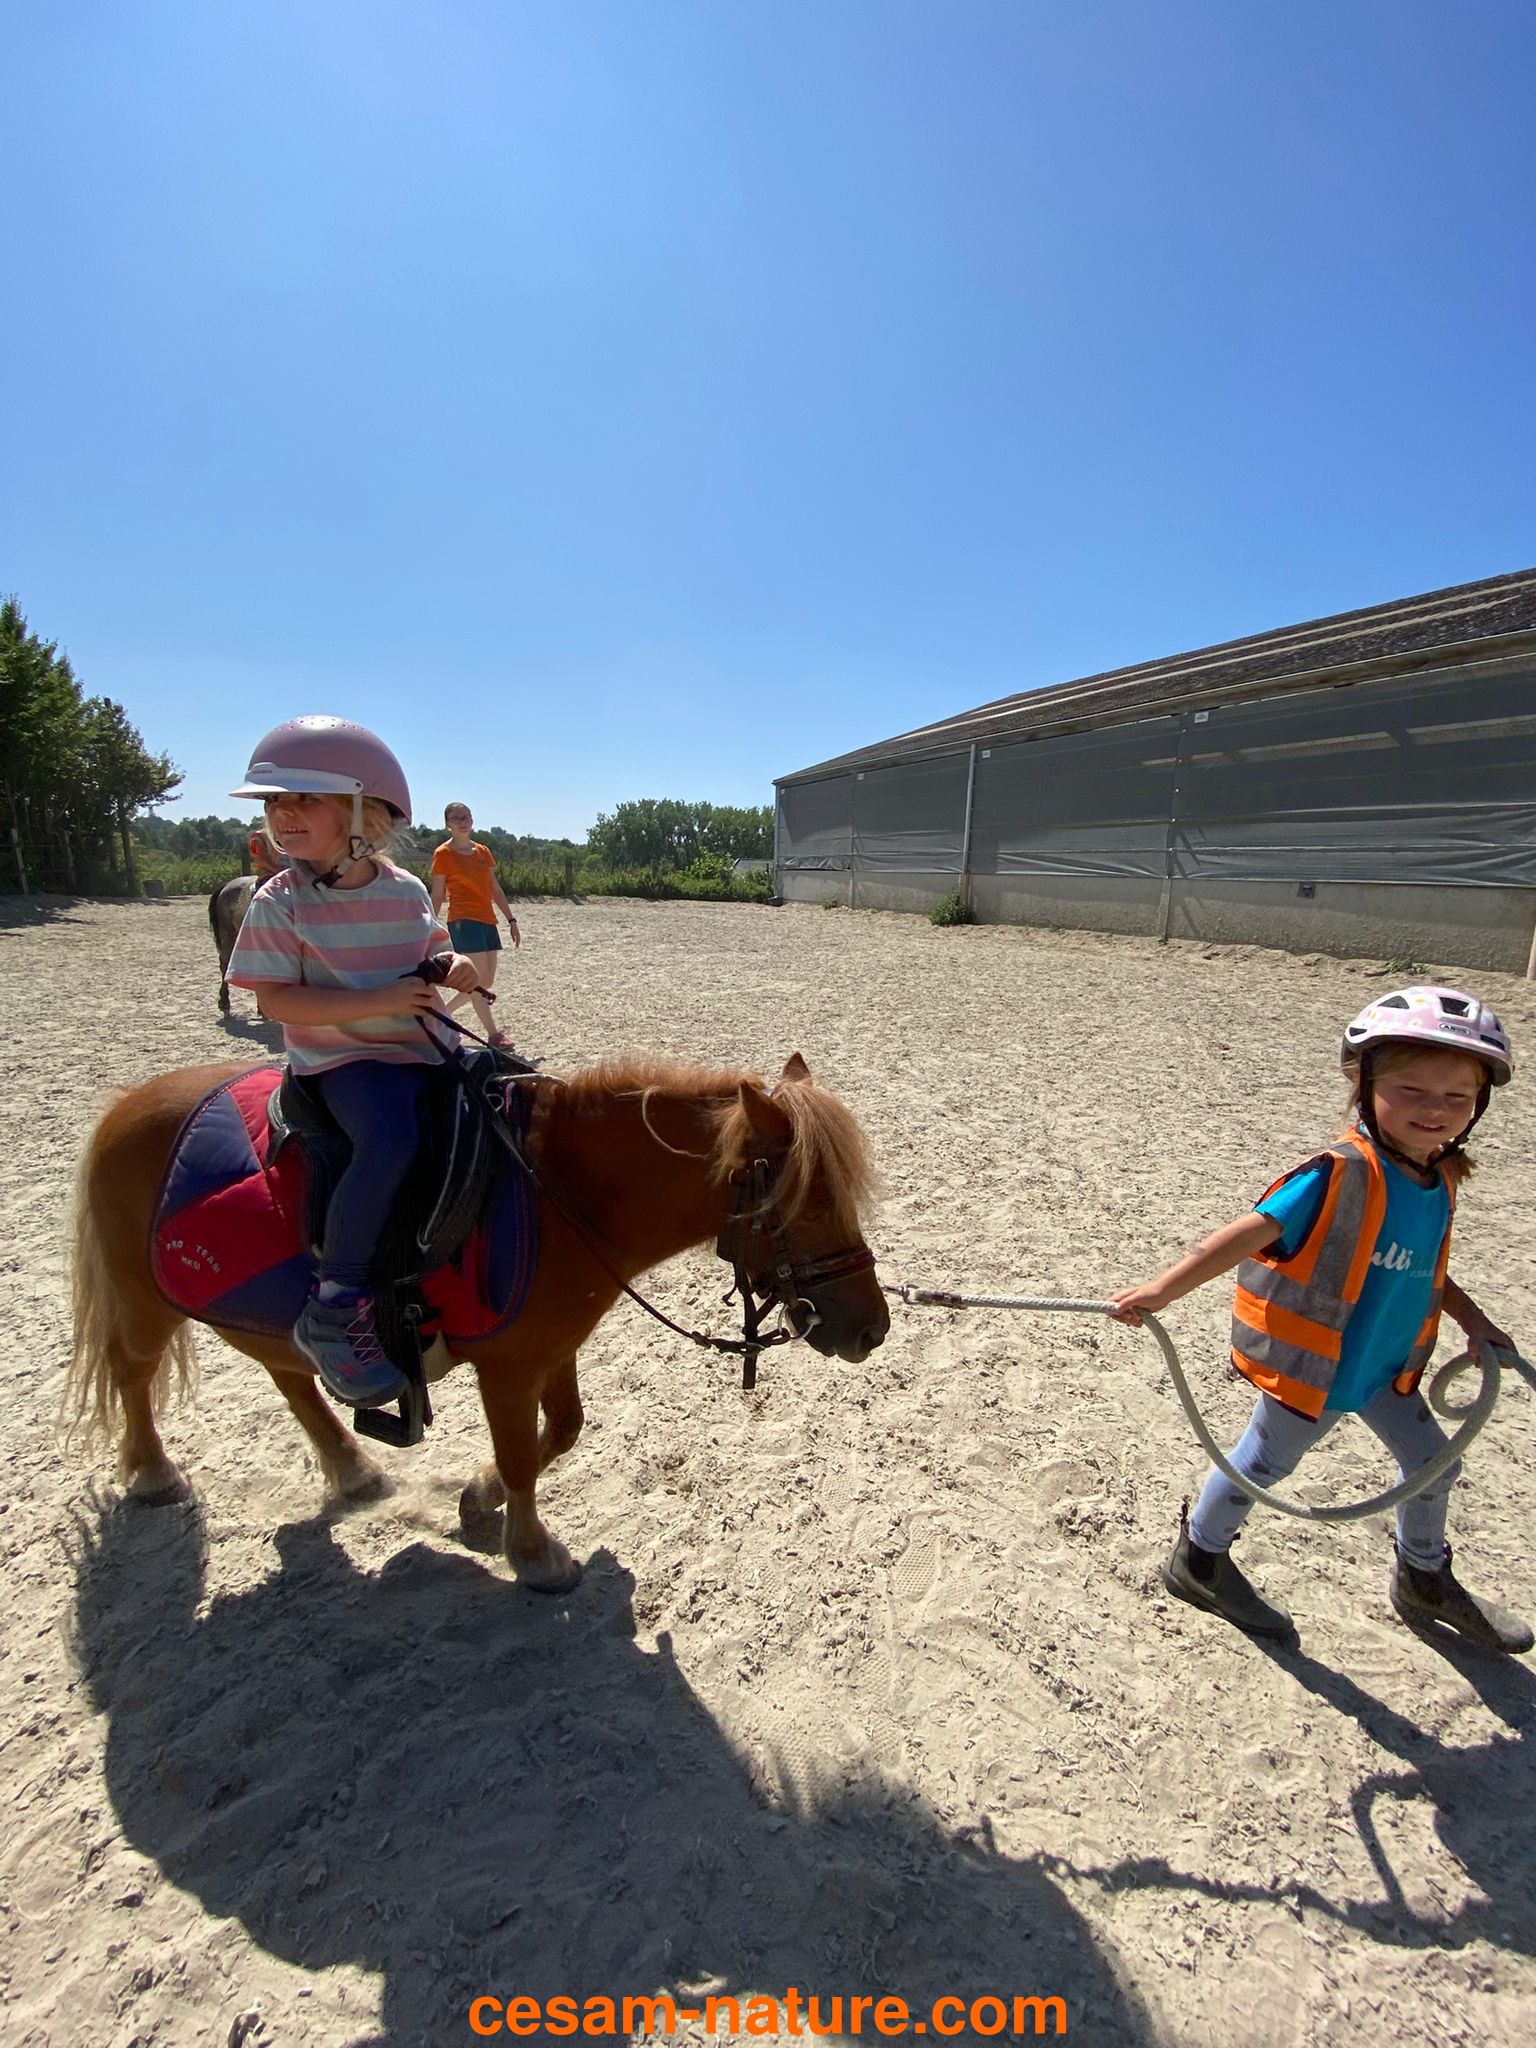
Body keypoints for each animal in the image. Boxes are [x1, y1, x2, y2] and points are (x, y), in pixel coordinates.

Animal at [67, 1053, 888, 1592]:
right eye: (808, 1201)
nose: (872, 1329)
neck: (558, 1195)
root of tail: (120, 1107)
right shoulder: (508, 1367)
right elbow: (522, 1452)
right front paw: (534, 1553)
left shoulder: (553, 1349)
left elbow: (562, 1431)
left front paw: (478, 1498)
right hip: (145, 1297)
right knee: (132, 1370)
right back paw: (151, 1472)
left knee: (288, 1374)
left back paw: (351, 1469)